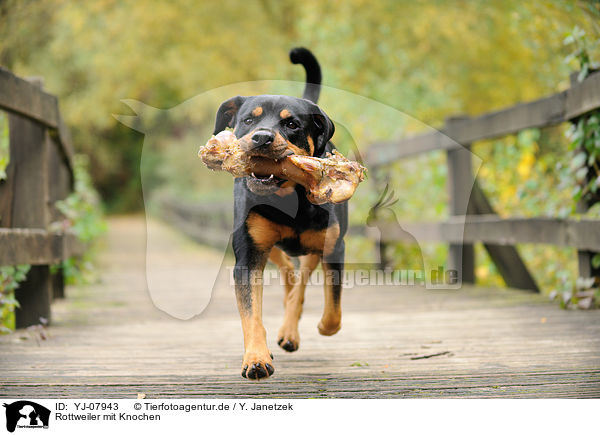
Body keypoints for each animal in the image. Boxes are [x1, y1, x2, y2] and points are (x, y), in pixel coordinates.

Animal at [214, 48, 346, 382]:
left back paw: (290, 329)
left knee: (300, 281)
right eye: (248, 119)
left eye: (292, 124)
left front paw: (322, 325)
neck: (287, 198)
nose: (261, 138)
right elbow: (251, 312)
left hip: (315, 245)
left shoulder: (333, 246)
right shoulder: (248, 253)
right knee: (287, 269)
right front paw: (256, 359)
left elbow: (333, 309)